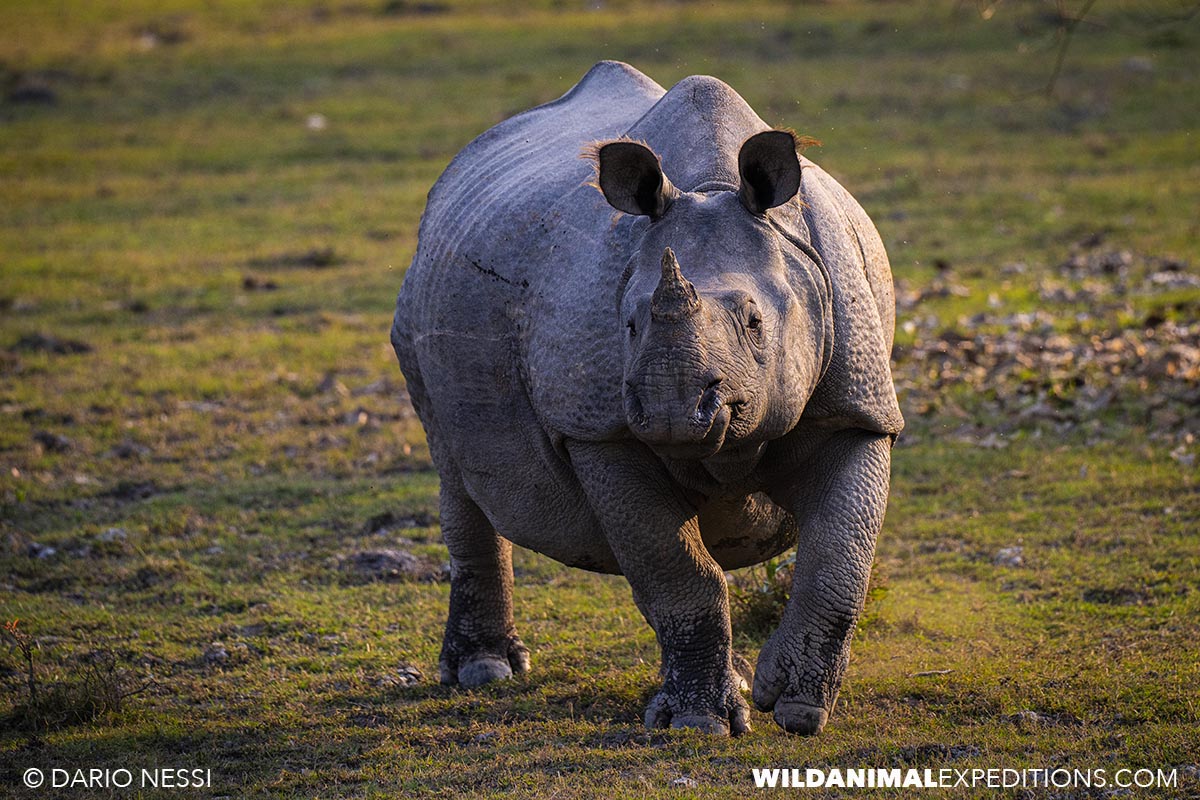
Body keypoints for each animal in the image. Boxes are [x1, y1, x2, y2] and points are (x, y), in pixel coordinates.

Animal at [391, 61, 903, 736]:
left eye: (755, 323)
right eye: (629, 326)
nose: (670, 410)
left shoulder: (857, 407)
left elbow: (838, 557)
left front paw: (795, 709)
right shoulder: (597, 428)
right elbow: (676, 568)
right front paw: (699, 724)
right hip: (417, 315)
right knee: (457, 475)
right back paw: (486, 672)